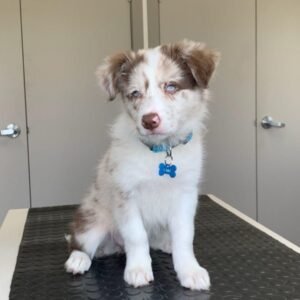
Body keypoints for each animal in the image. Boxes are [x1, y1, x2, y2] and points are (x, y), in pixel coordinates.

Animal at [65, 38, 218, 290]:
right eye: (135, 93)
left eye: (171, 87)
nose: (149, 121)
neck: (160, 152)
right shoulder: (125, 194)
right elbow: (136, 236)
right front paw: (137, 269)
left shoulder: (185, 194)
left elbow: (184, 236)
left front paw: (190, 270)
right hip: (94, 218)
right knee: (81, 241)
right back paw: (78, 259)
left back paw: (166, 244)